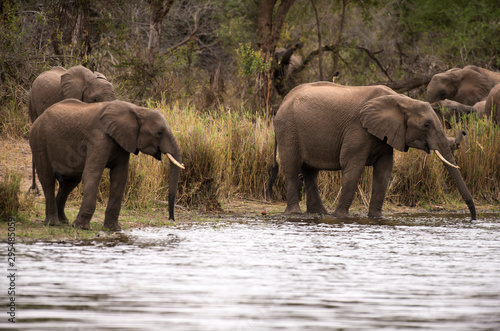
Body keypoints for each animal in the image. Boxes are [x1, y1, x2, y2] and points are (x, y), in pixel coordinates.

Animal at [27, 100, 184, 232]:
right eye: (159, 132)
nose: (171, 219)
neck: (137, 110)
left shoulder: (123, 141)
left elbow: (120, 178)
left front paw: (113, 229)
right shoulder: (98, 137)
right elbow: (92, 174)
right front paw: (81, 227)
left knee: (69, 183)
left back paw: (64, 221)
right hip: (39, 141)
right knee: (47, 179)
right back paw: (53, 223)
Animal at [270, 82, 476, 222]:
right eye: (426, 125)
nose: (473, 218)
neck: (402, 100)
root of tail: (283, 101)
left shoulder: (389, 134)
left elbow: (384, 171)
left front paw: (376, 218)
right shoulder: (358, 129)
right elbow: (352, 166)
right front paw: (341, 217)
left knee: (310, 172)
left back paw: (319, 213)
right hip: (288, 129)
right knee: (292, 168)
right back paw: (295, 213)